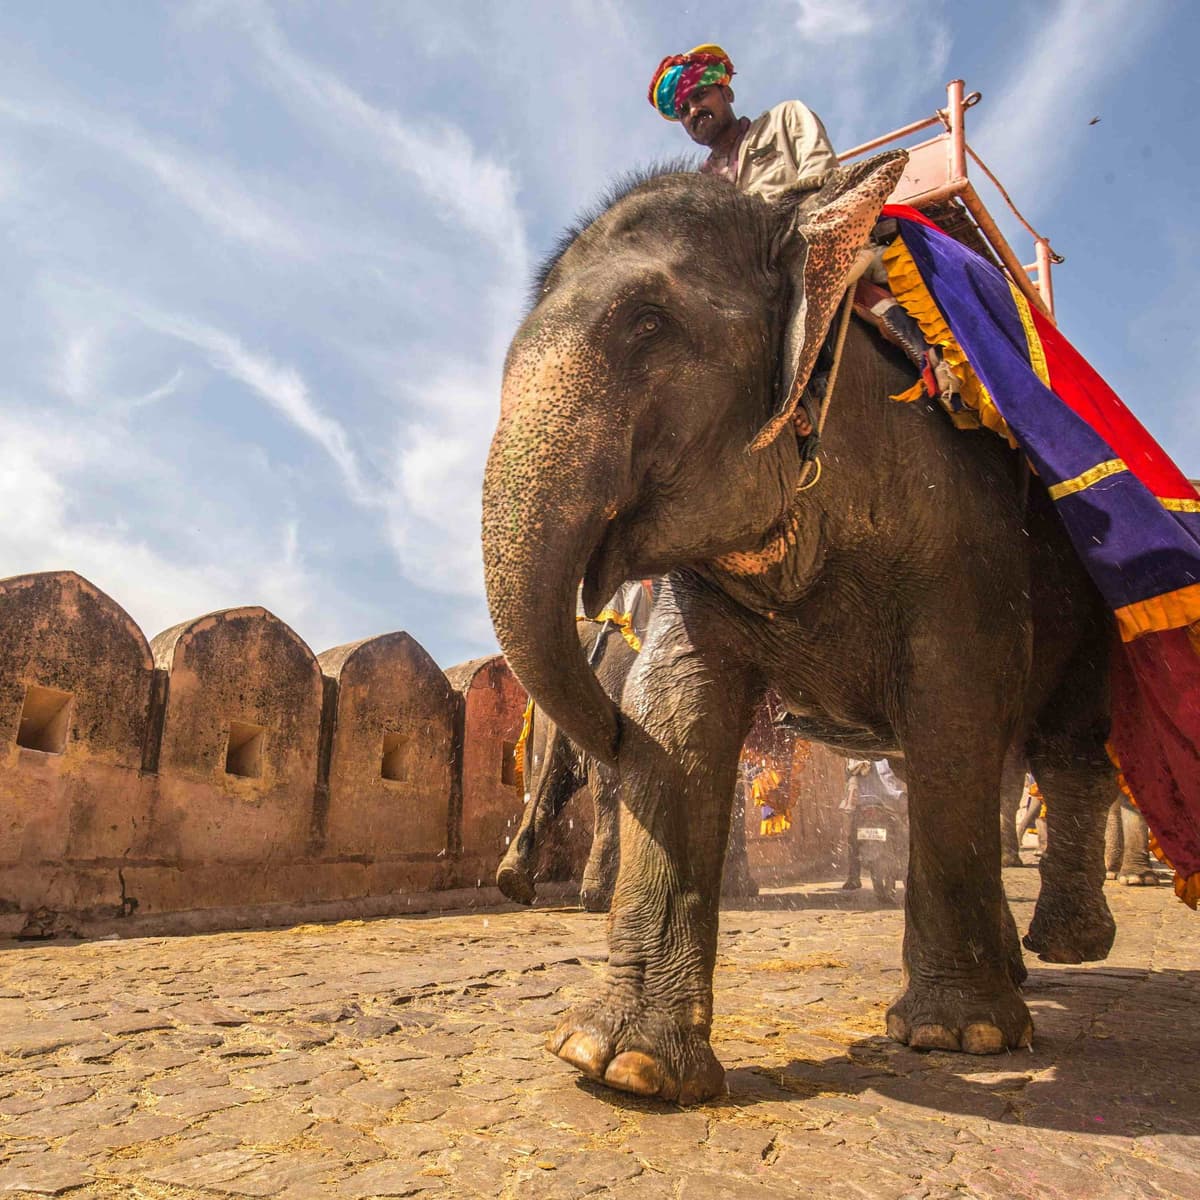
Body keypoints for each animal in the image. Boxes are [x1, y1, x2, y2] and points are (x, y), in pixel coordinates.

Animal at [496, 613, 758, 911]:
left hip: (545, 719)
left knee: (545, 786)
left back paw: (515, 882)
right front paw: (741, 889)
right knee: (608, 790)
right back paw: (600, 899)